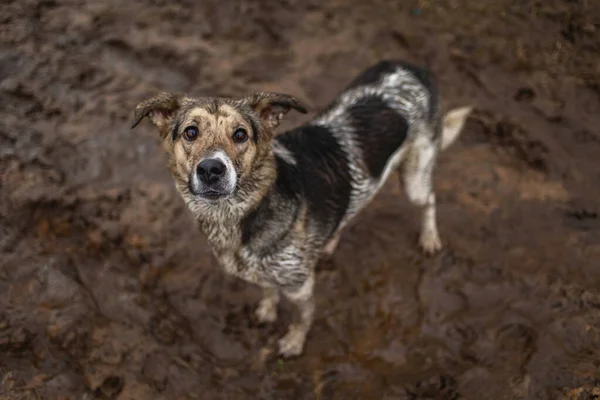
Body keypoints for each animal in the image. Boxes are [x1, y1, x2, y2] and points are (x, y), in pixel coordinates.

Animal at [131, 58, 474, 356]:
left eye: (240, 134)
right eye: (191, 132)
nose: (211, 169)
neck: (242, 212)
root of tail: (412, 66)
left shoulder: (300, 286)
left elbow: (302, 317)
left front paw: (294, 343)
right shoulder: (264, 272)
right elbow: (268, 291)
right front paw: (267, 310)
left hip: (415, 177)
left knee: (429, 200)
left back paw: (429, 237)